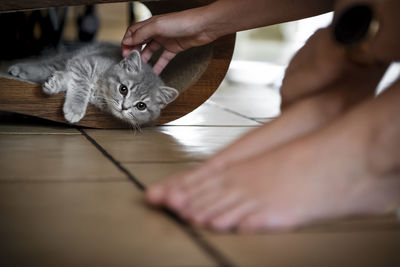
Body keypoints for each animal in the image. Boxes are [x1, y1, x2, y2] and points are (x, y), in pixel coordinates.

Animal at [7, 43, 180, 125]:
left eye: (141, 106)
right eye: (123, 89)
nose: (124, 107)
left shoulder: (77, 65)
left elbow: (68, 77)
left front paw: (55, 82)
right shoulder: (84, 62)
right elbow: (81, 84)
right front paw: (75, 108)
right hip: (64, 58)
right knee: (44, 66)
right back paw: (18, 69)